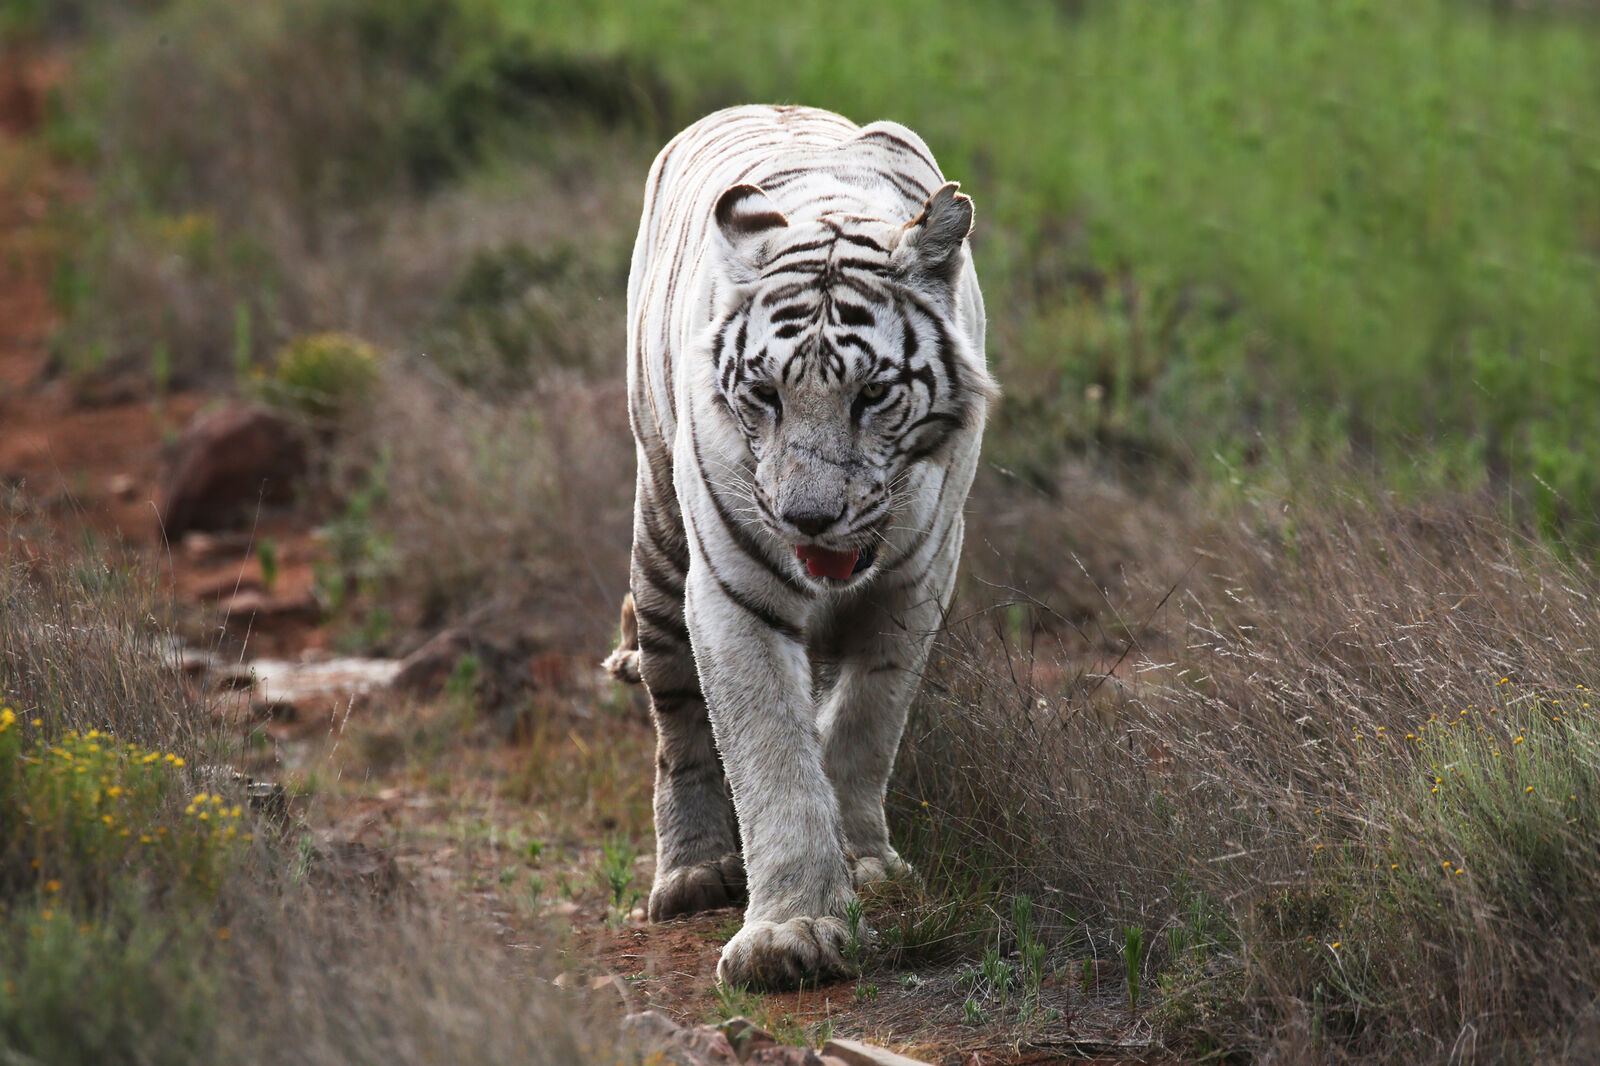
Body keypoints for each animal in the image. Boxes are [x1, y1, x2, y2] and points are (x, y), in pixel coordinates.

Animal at [604, 104, 992, 985]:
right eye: (764, 393)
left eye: (873, 394)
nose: (805, 519)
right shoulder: (734, 591)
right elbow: (772, 754)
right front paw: (793, 934)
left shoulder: (920, 577)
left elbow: (865, 723)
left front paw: (864, 863)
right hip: (659, 539)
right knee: (677, 718)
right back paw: (692, 873)